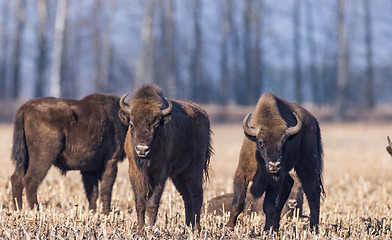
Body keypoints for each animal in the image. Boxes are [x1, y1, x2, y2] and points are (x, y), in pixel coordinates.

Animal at [118, 85, 213, 232]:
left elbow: (152, 203)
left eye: (156, 125)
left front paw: (150, 229)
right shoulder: (134, 170)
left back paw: (196, 228)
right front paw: (140, 230)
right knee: (187, 196)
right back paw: (188, 225)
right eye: (132, 124)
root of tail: (204, 115)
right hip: (179, 174)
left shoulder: (161, 173)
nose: (142, 149)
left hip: (194, 167)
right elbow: (140, 201)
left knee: (197, 194)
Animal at [225, 92, 324, 232]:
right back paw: (276, 227)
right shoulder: (242, 173)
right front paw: (229, 227)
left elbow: (268, 206)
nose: (274, 165)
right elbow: (238, 203)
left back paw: (313, 229)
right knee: (289, 185)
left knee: (312, 192)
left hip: (308, 163)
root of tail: (313, 121)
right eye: (261, 142)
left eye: (284, 142)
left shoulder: (275, 180)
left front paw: (267, 230)